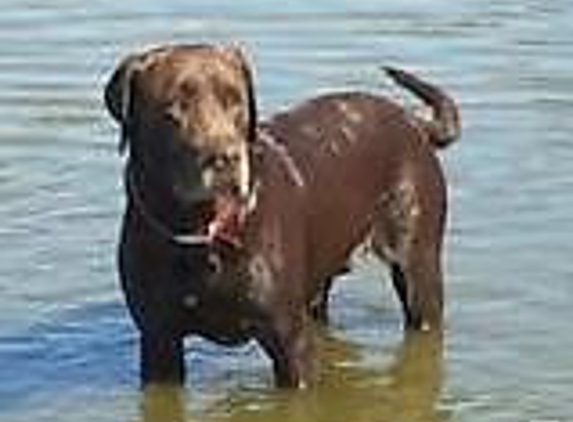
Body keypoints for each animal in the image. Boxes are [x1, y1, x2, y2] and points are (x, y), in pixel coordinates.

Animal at [104, 43, 460, 390]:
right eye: (175, 106)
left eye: (236, 101)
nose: (226, 158)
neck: (199, 230)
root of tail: (412, 121)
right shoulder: (158, 340)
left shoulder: (289, 340)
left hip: (418, 267)